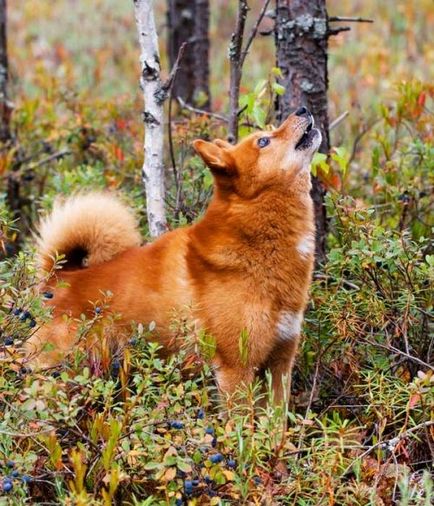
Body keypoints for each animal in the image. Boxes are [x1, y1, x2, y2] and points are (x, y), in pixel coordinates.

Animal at [26, 106, 318, 404]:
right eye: (263, 141)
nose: (302, 109)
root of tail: (60, 276)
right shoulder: (236, 367)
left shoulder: (279, 364)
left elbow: (276, 418)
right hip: (56, 375)